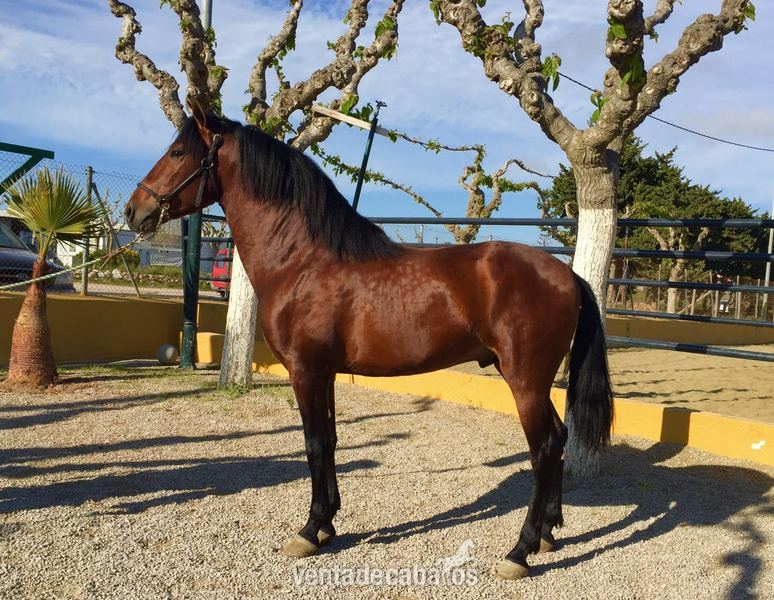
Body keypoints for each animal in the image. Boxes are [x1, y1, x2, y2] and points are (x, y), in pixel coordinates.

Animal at [125, 109, 613, 580]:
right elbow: (330, 440)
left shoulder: (305, 371)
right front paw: (326, 524)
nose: (133, 210)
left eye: (178, 152)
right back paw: (549, 533)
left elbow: (313, 443)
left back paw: (520, 551)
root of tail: (569, 275)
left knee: (545, 446)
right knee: (559, 437)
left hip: (525, 380)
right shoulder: (324, 374)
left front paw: (308, 531)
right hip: (534, 381)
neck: (302, 261)